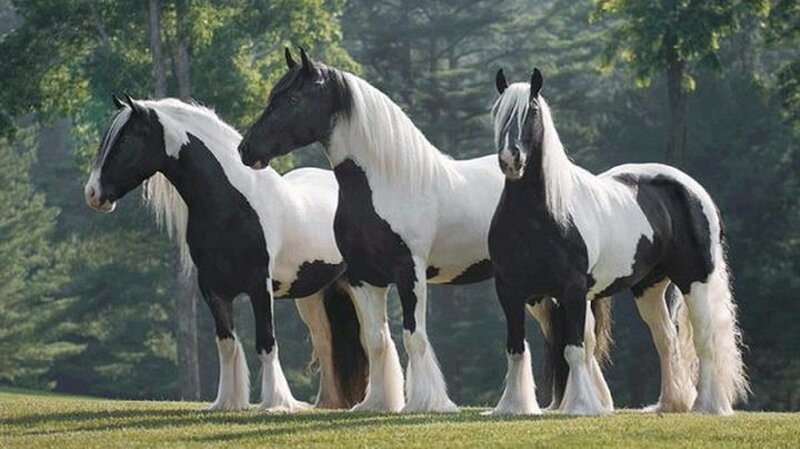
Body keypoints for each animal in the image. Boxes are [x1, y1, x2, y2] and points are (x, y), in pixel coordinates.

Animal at [84, 96, 368, 411]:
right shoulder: (213, 289)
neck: (233, 202)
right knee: (327, 344)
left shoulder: (259, 286)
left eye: (125, 140)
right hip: (316, 296)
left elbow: (266, 342)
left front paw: (275, 403)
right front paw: (227, 402)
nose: (92, 194)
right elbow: (227, 344)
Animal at [236, 48, 613, 414]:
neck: (388, 183)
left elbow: (413, 336)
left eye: (292, 99)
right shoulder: (362, 277)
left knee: (583, 338)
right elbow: (376, 340)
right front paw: (377, 403)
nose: (245, 149)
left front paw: (426, 402)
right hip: (534, 288)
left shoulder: (410, 272)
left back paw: (591, 403)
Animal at [488, 68, 748, 415]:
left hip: (694, 280)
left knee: (704, 339)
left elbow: (574, 349)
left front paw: (581, 407)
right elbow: (516, 349)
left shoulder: (572, 290)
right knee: (665, 338)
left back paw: (706, 406)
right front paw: (513, 407)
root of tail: (693, 189)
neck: (541, 214)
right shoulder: (513, 291)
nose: (510, 160)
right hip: (648, 288)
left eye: (531, 112)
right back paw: (670, 403)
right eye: (498, 112)